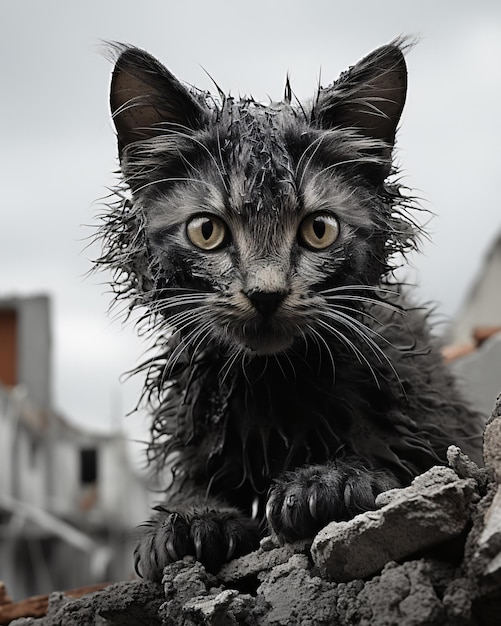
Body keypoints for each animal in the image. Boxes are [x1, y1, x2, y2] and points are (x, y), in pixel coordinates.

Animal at [95, 41, 482, 580]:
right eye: (206, 231)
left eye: (319, 229)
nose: (266, 293)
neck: (271, 384)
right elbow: (194, 485)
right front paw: (192, 517)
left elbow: (411, 460)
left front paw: (329, 481)